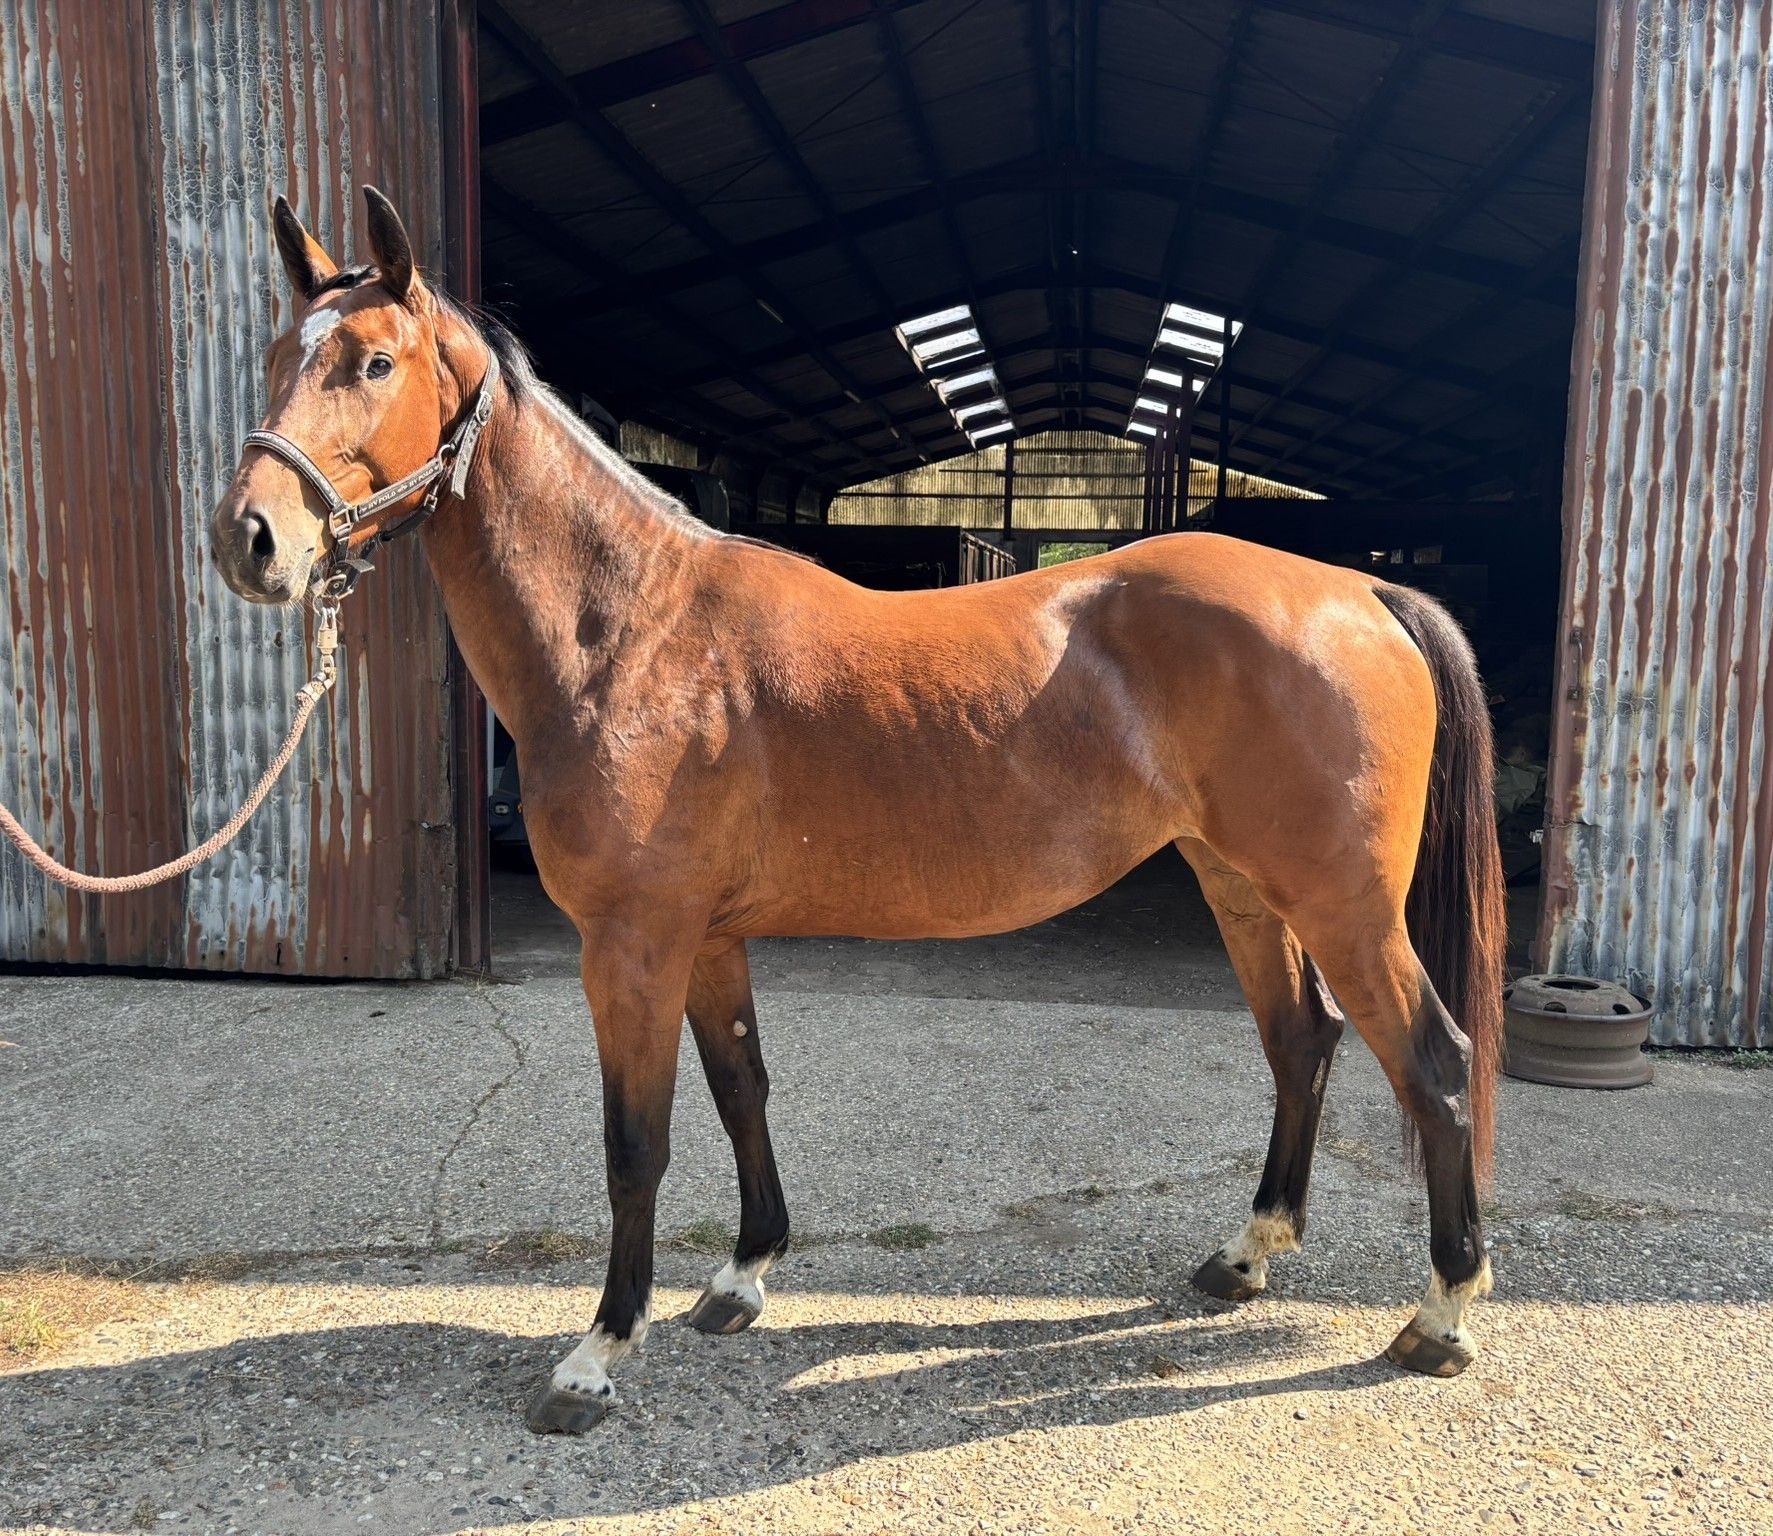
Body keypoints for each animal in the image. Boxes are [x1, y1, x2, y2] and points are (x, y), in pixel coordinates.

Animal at [210, 188, 1506, 1435]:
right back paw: (1245, 1257)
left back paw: (1440, 1316)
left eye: (375, 361)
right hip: (1241, 886)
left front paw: (596, 1357)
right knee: (1302, 1043)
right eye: (274, 353)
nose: (249, 541)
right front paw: (741, 1280)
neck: (634, 633)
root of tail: (1359, 592)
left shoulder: (631, 946)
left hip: (1342, 905)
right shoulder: (706, 940)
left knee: (1432, 1062)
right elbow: (741, 1089)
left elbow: (636, 1143)